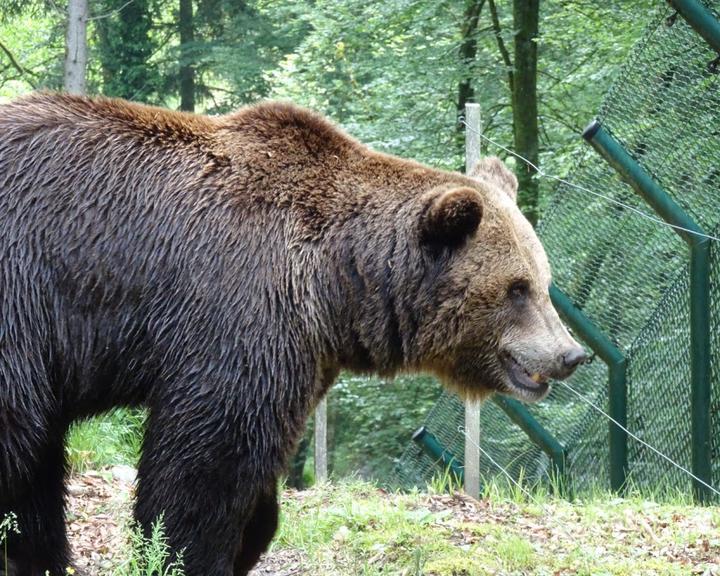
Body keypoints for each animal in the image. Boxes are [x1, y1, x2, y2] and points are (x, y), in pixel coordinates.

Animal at [0, 92, 584, 572]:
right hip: (23, 297)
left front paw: (250, 534)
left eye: (544, 281)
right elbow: (204, 463)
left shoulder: (300, 350)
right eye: (516, 288)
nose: (569, 354)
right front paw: (185, 552)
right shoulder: (239, 312)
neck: (337, 281)